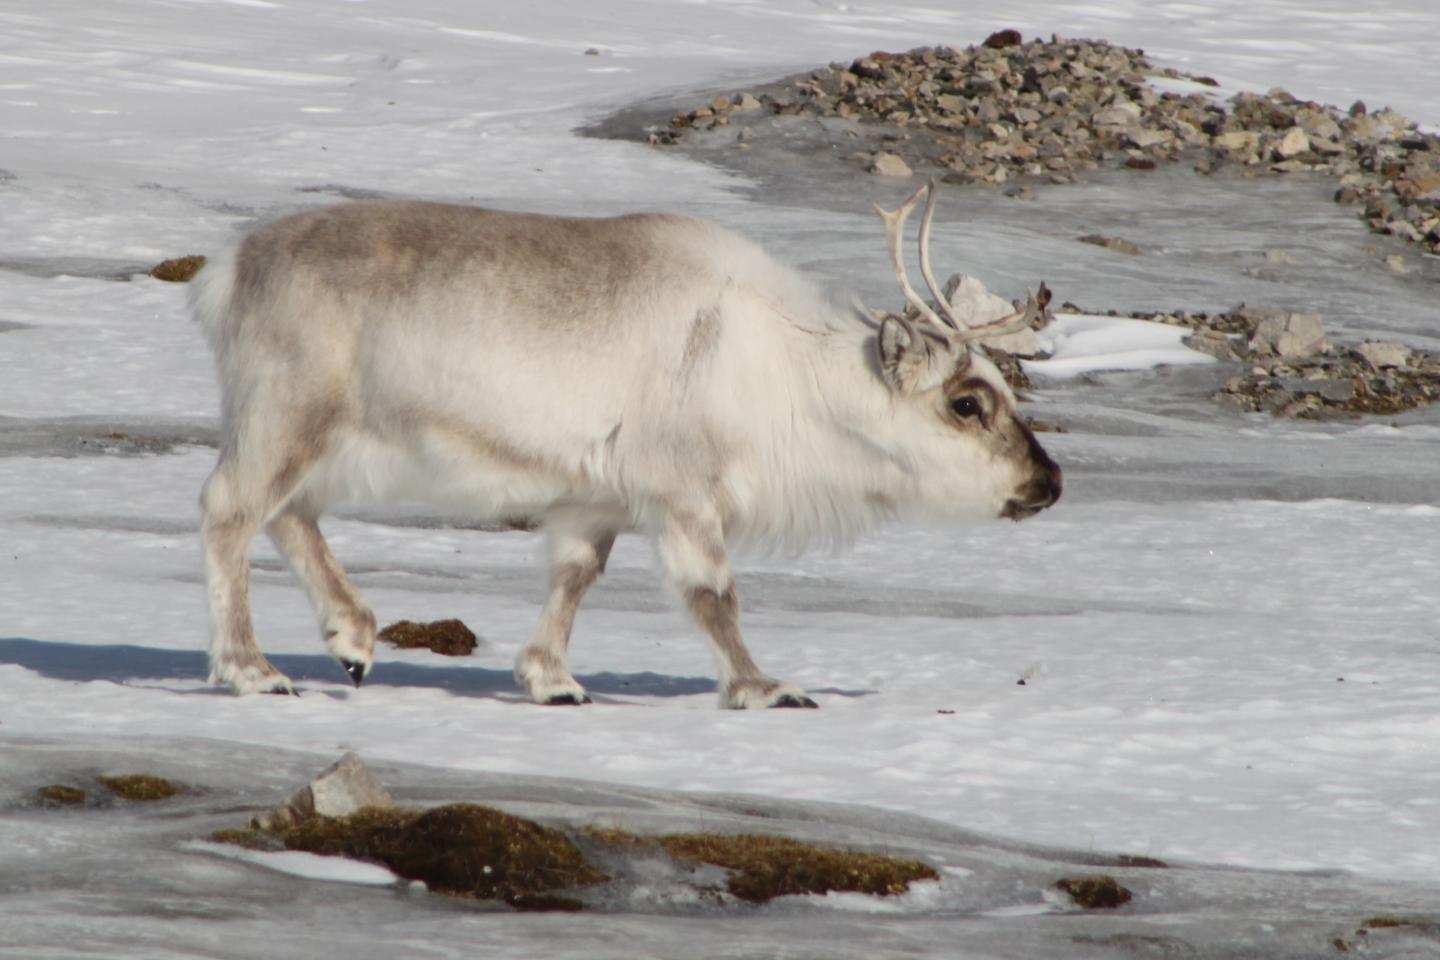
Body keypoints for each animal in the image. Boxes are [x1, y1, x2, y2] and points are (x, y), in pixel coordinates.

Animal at [191, 179, 1061, 708]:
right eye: (966, 402)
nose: (1049, 481)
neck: (790, 384)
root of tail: (227, 268)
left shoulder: (595, 501)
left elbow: (574, 578)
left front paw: (551, 680)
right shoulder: (681, 493)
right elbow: (715, 595)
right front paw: (765, 687)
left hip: (309, 435)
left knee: (289, 515)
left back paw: (354, 638)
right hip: (287, 414)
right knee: (231, 511)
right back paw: (253, 669)